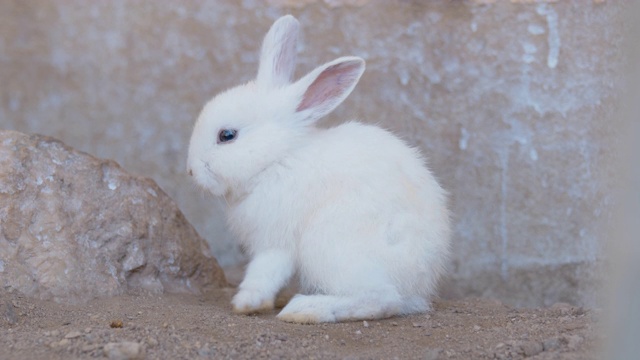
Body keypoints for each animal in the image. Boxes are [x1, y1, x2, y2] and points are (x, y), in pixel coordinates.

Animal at [188, 14, 452, 324]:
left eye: (226, 135)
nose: (191, 170)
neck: (277, 158)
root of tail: (419, 283)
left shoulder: (276, 240)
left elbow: (263, 272)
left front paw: (246, 303)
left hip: (330, 245)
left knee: (381, 299)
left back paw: (306, 310)